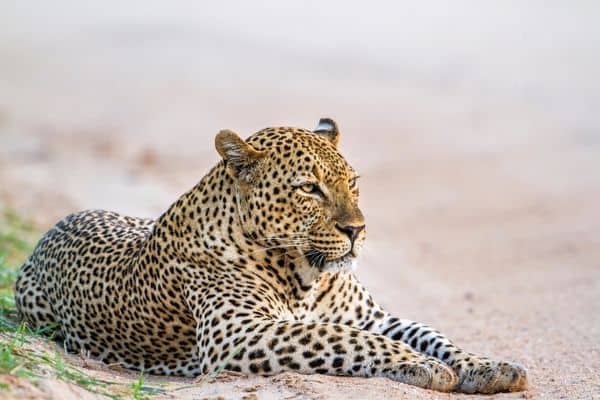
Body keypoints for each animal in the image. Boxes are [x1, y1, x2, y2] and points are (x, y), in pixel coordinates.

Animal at [15, 119, 528, 394]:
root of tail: (53, 228)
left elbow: (433, 335)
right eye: (309, 189)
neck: (306, 275)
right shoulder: (238, 333)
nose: (357, 230)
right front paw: (425, 366)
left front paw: (490, 367)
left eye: (352, 183)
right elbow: (341, 338)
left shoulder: (373, 316)